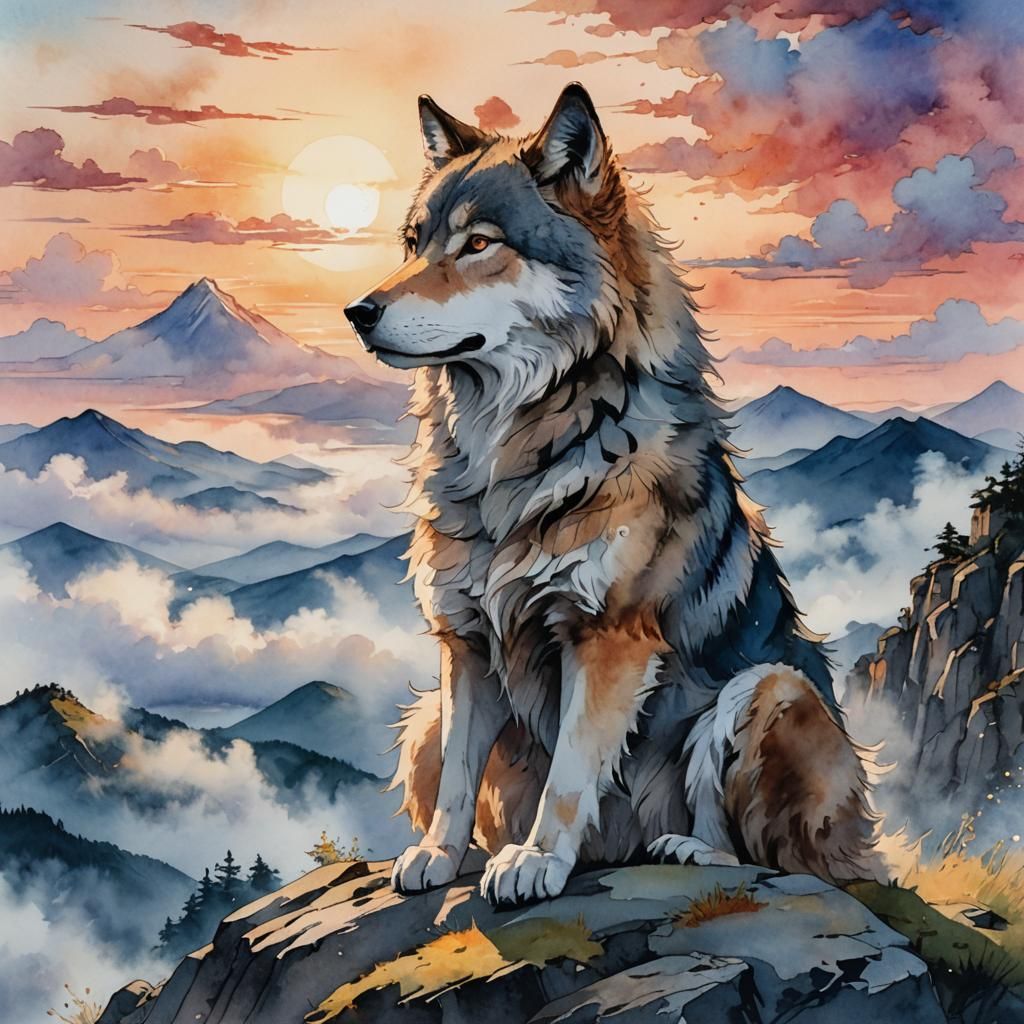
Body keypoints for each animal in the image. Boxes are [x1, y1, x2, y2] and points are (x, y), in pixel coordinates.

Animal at [344, 83, 880, 907]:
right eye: (414, 242)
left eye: (479, 245)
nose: (358, 312)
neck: (513, 459)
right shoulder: (464, 643)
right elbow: (461, 778)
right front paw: (438, 855)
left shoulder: (606, 641)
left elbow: (570, 773)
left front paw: (533, 861)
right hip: (423, 715)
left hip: (766, 688)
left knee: (763, 856)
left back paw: (687, 851)